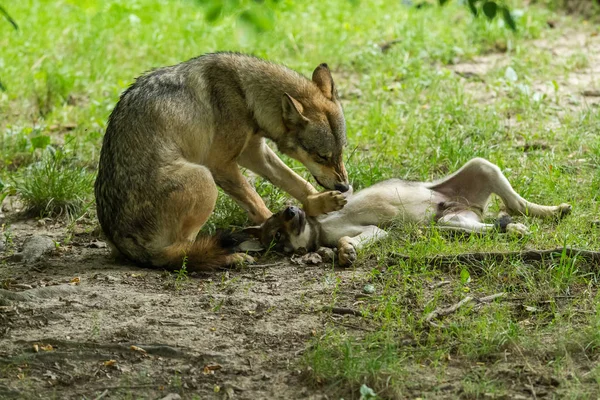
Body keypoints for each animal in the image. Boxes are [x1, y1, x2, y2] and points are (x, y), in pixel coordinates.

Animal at [93, 52, 346, 268]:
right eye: (322, 156)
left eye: (342, 151)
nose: (344, 186)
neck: (245, 93)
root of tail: (125, 242)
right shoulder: (220, 163)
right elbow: (258, 203)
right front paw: (275, 229)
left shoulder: (254, 152)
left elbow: (295, 181)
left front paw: (319, 203)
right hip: (204, 178)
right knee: (177, 255)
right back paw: (231, 258)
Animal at [253, 158, 572, 268]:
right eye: (277, 234)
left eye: (281, 213)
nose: (291, 210)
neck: (318, 226)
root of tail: (468, 208)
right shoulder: (364, 232)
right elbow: (351, 239)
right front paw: (344, 252)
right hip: (449, 223)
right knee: (495, 224)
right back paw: (512, 228)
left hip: (480, 168)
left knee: (517, 205)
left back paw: (554, 211)